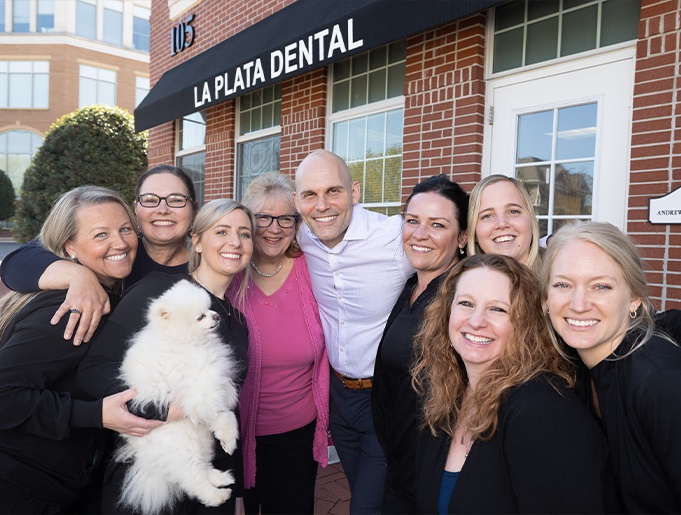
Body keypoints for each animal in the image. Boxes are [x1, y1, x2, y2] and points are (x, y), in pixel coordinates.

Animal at [113, 280, 238, 512]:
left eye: (209, 308)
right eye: (200, 317)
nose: (217, 316)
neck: (184, 342)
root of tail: (147, 460)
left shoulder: (211, 380)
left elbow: (225, 396)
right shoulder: (198, 387)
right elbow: (223, 414)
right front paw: (229, 439)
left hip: (200, 441)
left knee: (202, 466)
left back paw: (220, 478)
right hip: (183, 449)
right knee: (192, 479)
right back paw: (217, 495)